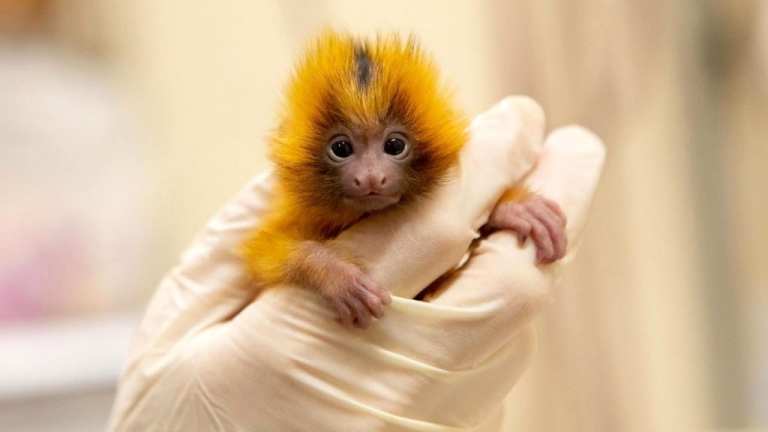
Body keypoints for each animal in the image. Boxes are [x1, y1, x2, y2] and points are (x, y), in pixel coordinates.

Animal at [243, 32, 568, 330]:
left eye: (395, 145)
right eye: (341, 148)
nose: (371, 177)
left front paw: (511, 208)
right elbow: (265, 252)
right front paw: (334, 273)